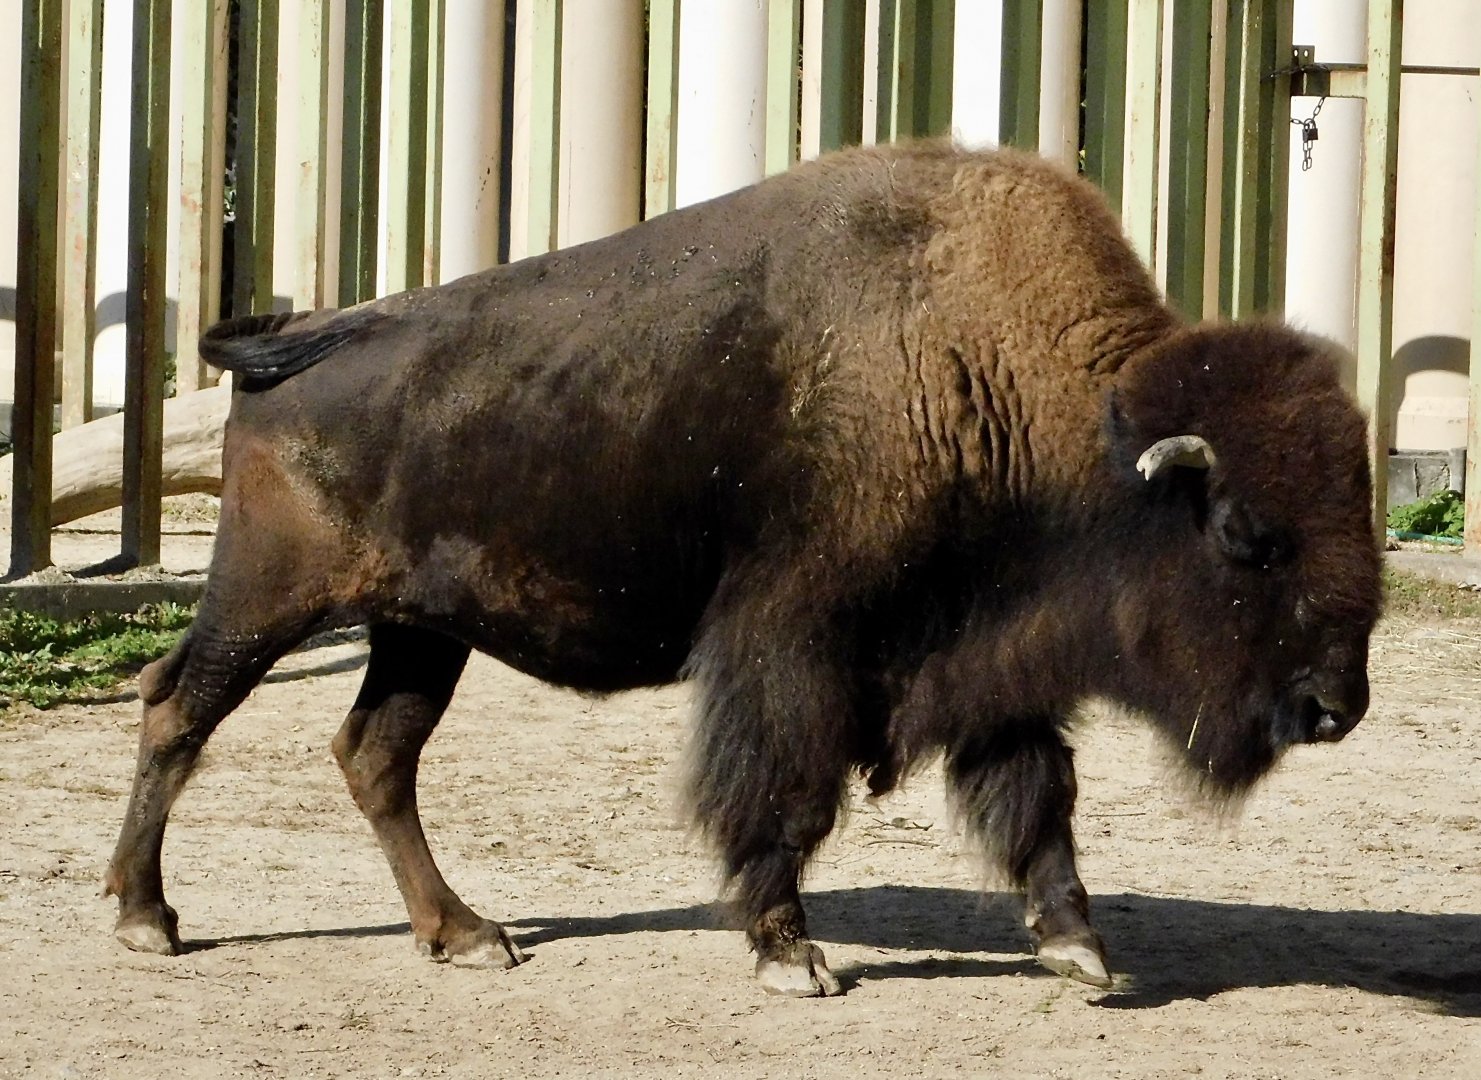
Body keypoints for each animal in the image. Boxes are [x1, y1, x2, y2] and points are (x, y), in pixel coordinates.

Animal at [105, 141, 1381, 996]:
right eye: (1244, 534)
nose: (1335, 706)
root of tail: (296, 342)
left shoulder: (989, 657)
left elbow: (1037, 793)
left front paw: (1079, 950)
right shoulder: (795, 641)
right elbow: (784, 789)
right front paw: (791, 954)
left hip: (422, 630)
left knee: (374, 754)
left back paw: (465, 934)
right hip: (270, 599)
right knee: (177, 707)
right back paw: (146, 917)